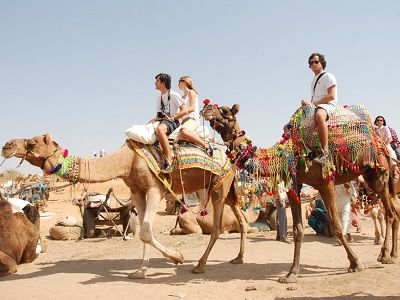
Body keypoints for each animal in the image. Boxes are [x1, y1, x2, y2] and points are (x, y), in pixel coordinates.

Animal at [1, 135, 248, 278]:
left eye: (32, 142)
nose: (7, 145)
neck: (126, 161)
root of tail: (231, 157)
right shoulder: (137, 192)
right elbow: (144, 233)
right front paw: (141, 271)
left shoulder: (154, 188)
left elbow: (146, 231)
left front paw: (177, 256)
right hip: (226, 190)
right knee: (241, 219)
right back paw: (238, 258)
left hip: (220, 187)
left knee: (216, 228)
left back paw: (200, 265)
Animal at [203, 103, 400, 284]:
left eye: (225, 111)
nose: (205, 109)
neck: (289, 154)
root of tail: (380, 142)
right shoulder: (294, 185)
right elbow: (298, 230)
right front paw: (291, 274)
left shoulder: (325, 182)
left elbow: (336, 225)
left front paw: (355, 263)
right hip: (370, 176)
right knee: (394, 212)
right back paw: (392, 254)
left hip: (379, 175)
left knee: (389, 213)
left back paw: (385, 256)